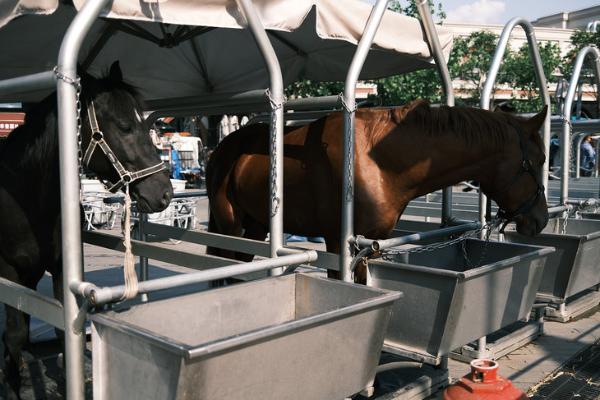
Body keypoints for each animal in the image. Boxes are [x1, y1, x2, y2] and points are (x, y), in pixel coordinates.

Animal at [0, 61, 173, 398]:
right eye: (124, 126)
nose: (165, 193)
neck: (26, 194)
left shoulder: (57, 269)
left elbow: (58, 327)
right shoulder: (8, 269)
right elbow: (14, 334)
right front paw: (12, 386)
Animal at [206, 100, 548, 276]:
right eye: (540, 159)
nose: (540, 220)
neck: (376, 162)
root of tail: (223, 147)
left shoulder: (371, 245)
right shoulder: (338, 243)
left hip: (256, 225)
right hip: (230, 224)